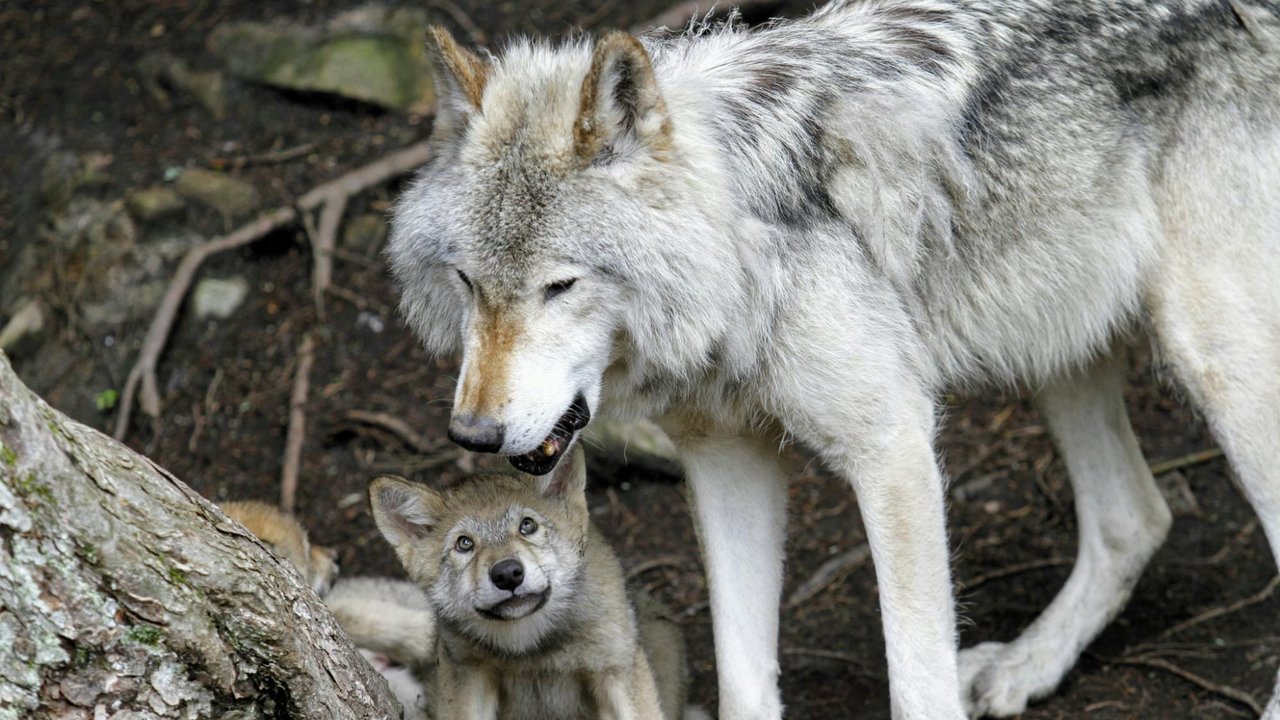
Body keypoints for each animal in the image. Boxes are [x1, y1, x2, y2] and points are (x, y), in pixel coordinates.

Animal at [386, 2, 1280, 712]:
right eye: (466, 282)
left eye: (559, 286)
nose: (471, 434)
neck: (743, 250)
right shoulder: (726, 459)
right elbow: (744, 680)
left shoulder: (893, 449)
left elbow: (917, 683)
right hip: (1056, 341)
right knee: (1136, 516)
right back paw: (1027, 667)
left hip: (1215, 359)